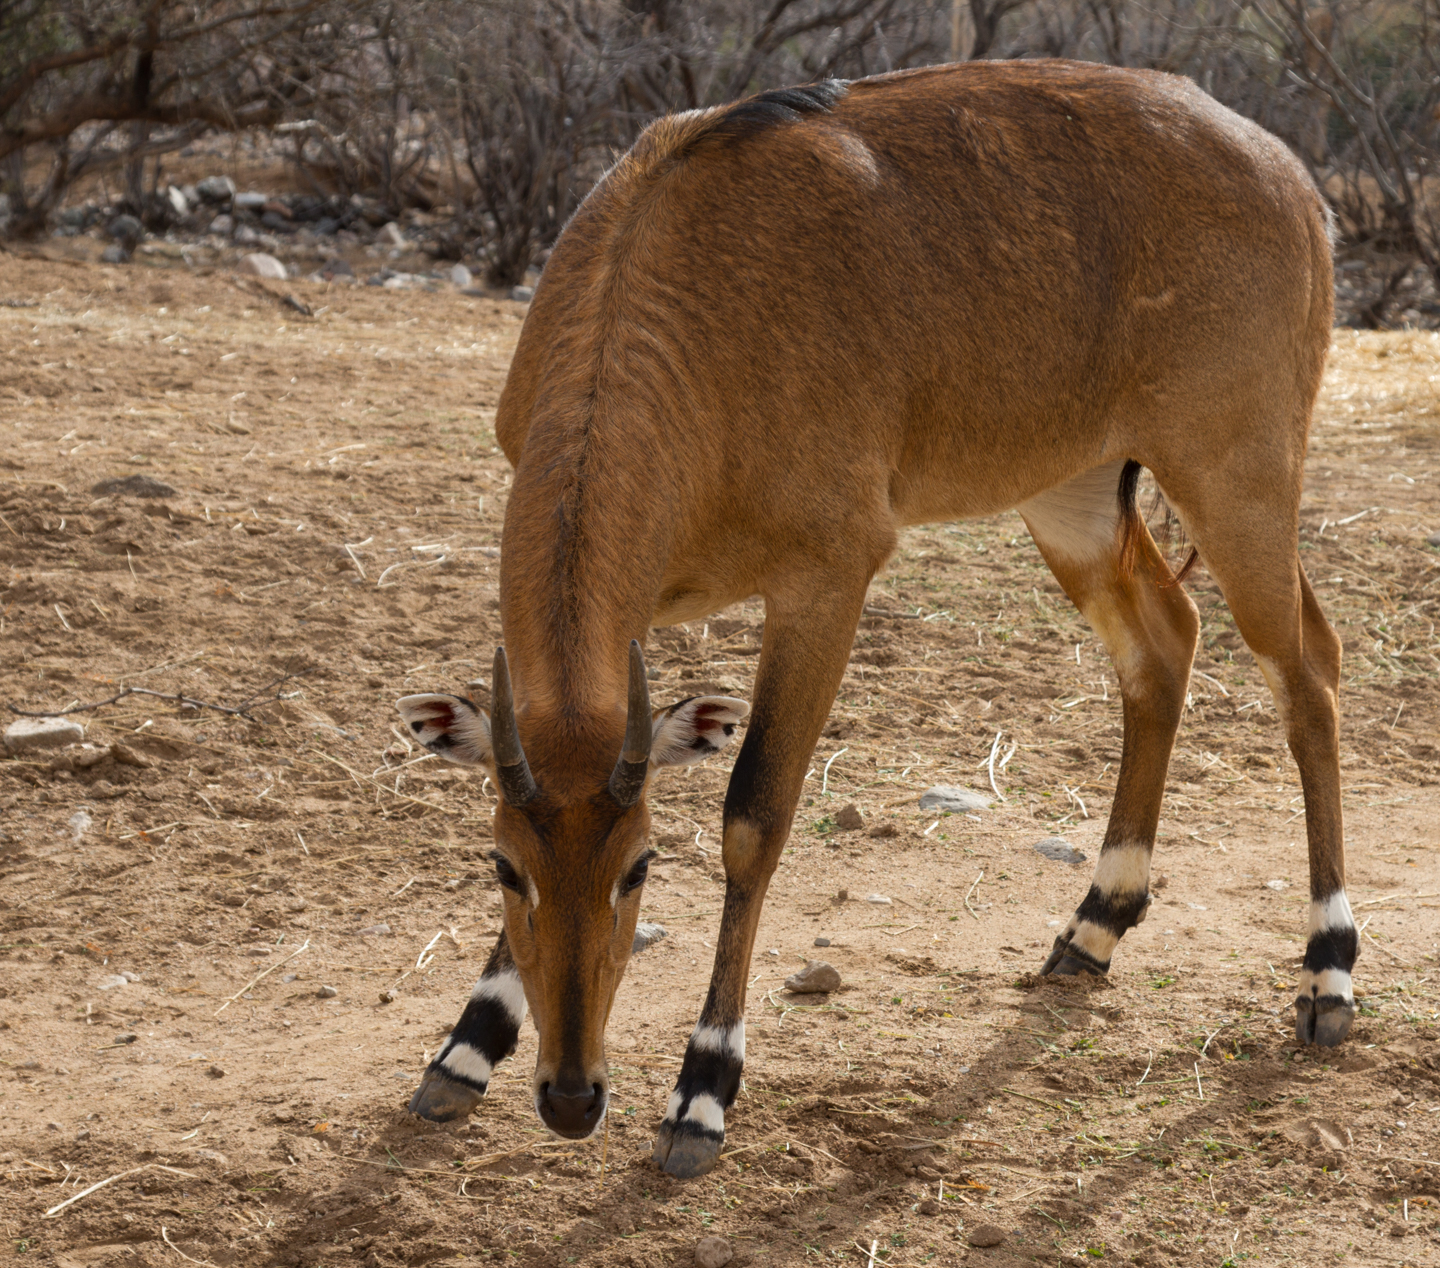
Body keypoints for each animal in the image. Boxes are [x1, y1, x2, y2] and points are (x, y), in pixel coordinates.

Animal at [396, 58, 1354, 1179]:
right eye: (505, 866)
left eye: (641, 867)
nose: (572, 1094)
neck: (657, 279)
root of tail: (1289, 174)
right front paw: (467, 1044)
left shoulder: (829, 577)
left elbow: (754, 817)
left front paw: (702, 1090)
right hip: (1071, 493)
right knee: (1164, 645)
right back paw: (1094, 926)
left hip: (1236, 474)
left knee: (1307, 666)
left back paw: (1329, 972)